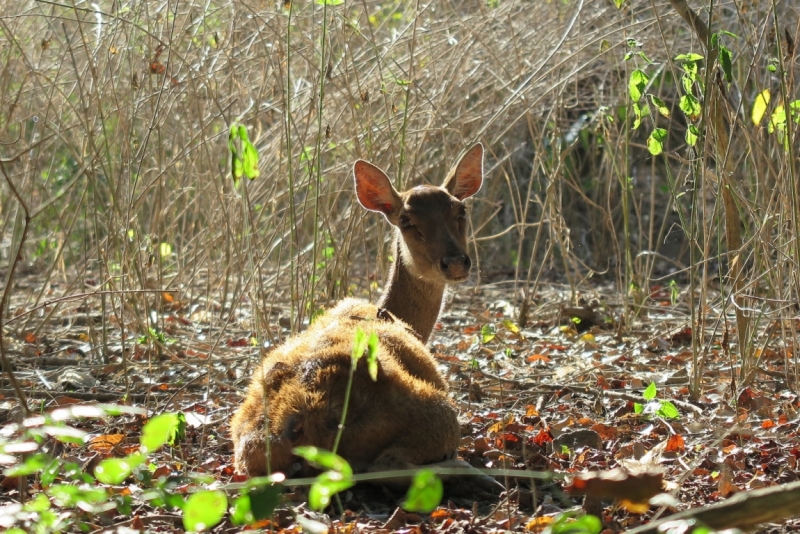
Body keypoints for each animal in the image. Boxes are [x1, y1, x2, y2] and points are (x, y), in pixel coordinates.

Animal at [228, 143, 484, 482]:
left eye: (461, 210)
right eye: (406, 220)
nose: (455, 261)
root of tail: (306, 419)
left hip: (248, 443)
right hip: (436, 414)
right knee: (389, 463)